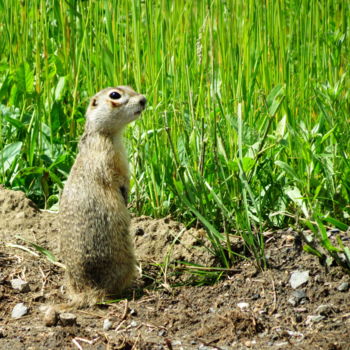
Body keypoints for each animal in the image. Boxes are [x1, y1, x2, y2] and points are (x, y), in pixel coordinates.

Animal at [58, 85, 146, 306]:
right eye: (115, 95)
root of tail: (86, 290)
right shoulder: (110, 158)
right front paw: (125, 196)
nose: (144, 99)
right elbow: (117, 179)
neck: (103, 134)